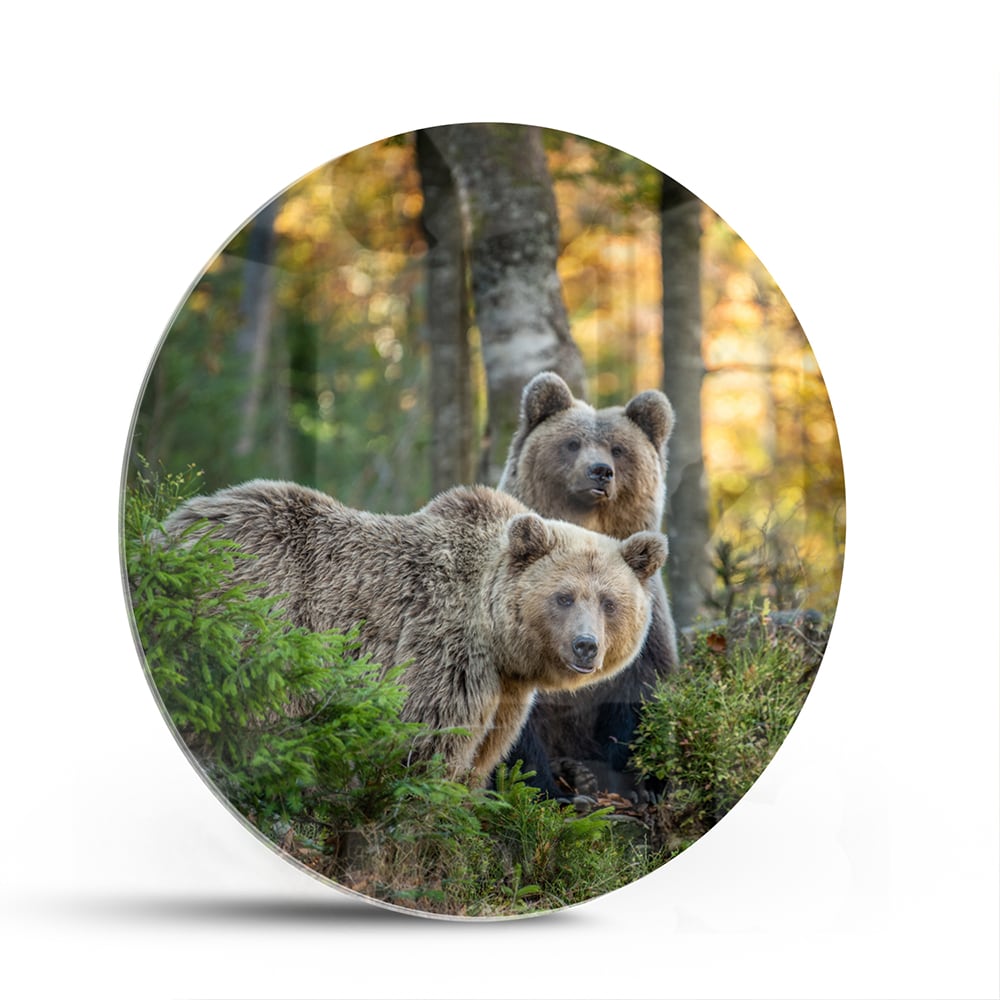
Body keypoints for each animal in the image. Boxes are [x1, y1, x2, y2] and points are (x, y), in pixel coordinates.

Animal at [163, 480, 668, 787]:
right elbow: (429, 742)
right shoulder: (444, 650)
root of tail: (173, 527)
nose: (586, 646)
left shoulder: (505, 692)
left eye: (609, 602)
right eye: (564, 597)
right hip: (255, 619)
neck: (499, 642)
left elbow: (485, 753)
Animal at [496, 371, 679, 798]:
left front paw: (641, 785)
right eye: (572, 443)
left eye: (618, 449)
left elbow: (639, 692)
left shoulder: (645, 617)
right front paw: (547, 789)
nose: (600, 471)